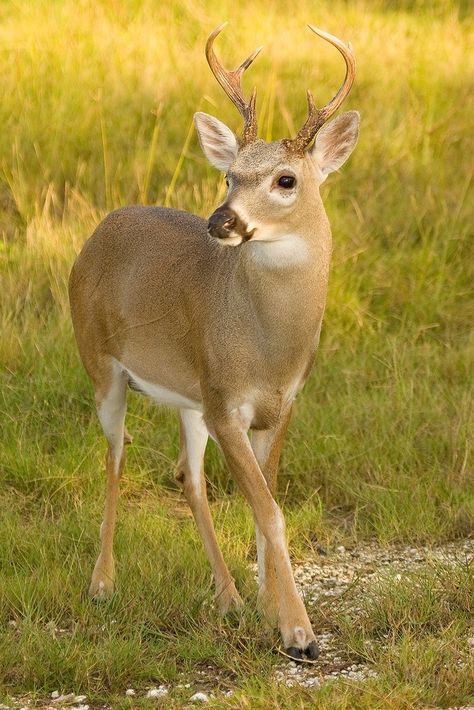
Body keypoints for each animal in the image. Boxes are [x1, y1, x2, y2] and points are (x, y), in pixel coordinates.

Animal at [69, 23, 360, 660]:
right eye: (230, 175)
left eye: (286, 179)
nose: (220, 220)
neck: (270, 347)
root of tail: (99, 229)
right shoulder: (227, 403)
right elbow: (270, 512)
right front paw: (299, 632)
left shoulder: (276, 406)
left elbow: (263, 504)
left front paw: (266, 605)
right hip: (100, 363)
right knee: (116, 456)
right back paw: (102, 583)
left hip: (190, 395)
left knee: (188, 475)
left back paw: (226, 596)